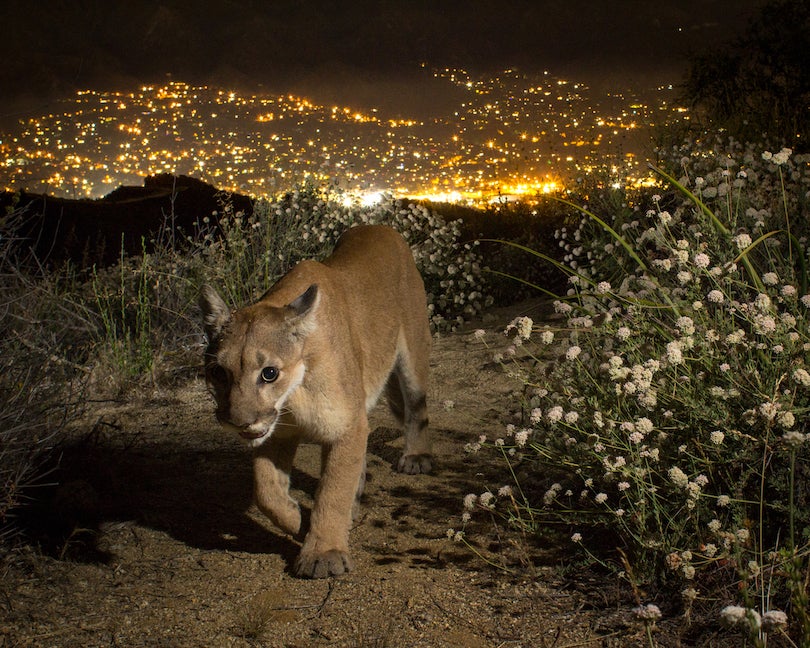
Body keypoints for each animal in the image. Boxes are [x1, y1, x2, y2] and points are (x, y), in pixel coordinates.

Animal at [199, 224, 432, 578]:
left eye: (269, 373)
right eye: (218, 372)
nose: (238, 421)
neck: (293, 395)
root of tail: (379, 226)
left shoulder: (345, 425)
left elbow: (332, 492)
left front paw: (324, 553)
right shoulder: (277, 434)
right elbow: (266, 490)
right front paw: (298, 520)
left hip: (412, 354)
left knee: (417, 407)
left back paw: (415, 457)